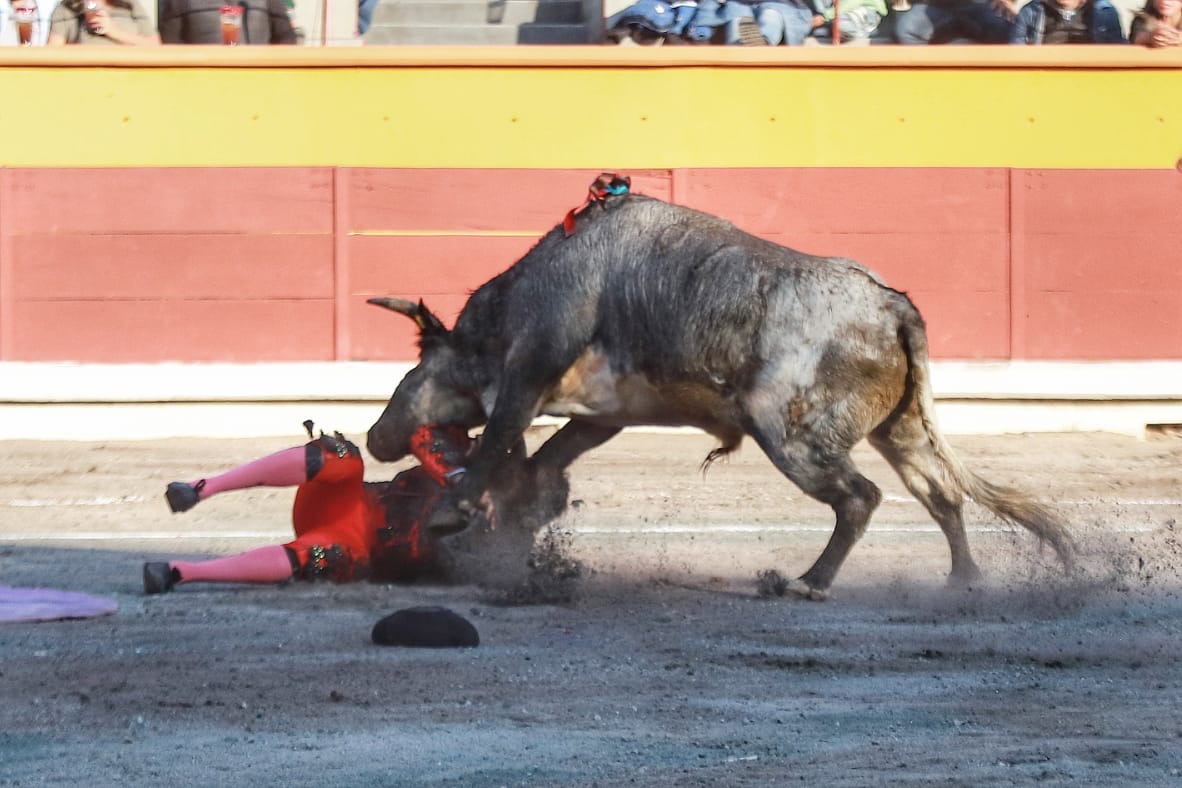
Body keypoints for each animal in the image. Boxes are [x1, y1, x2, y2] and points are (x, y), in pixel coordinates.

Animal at [364, 185, 1077, 597]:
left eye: (415, 366)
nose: (375, 436)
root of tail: (892, 306)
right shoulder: (604, 412)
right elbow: (544, 460)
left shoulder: (528, 373)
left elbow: (497, 444)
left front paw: (451, 514)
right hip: (896, 427)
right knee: (939, 493)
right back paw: (963, 581)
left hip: (790, 435)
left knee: (861, 497)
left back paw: (809, 584)